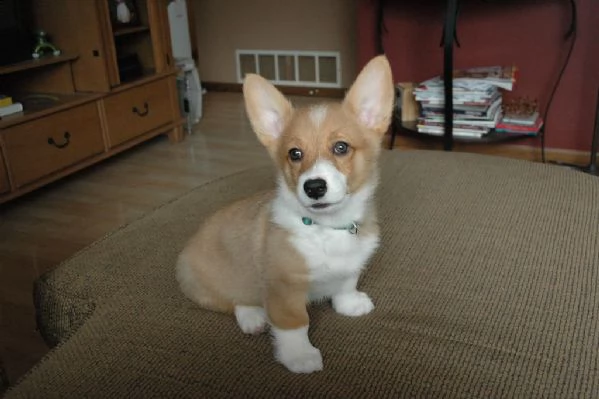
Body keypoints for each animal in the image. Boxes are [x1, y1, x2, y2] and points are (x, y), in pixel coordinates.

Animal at [176, 56, 396, 376]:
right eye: (295, 153)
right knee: (232, 299)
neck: (325, 229)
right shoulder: (284, 288)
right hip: (213, 282)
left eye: (341, 147)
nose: (314, 187)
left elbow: (346, 282)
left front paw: (349, 303)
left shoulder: (350, 265)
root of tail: (186, 249)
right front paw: (300, 356)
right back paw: (253, 317)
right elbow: (295, 324)